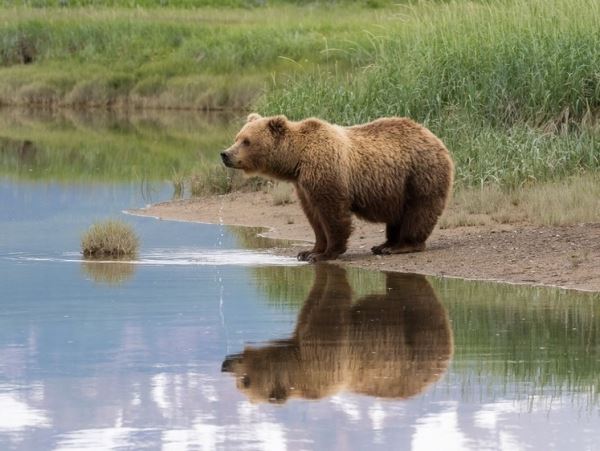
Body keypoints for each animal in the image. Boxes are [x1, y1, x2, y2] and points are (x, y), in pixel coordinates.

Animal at [223, 113, 452, 264]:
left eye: (247, 141)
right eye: (237, 137)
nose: (225, 154)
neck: (297, 160)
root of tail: (436, 138)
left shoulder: (326, 170)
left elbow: (332, 213)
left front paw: (324, 253)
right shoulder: (303, 186)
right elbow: (314, 216)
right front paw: (308, 251)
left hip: (420, 175)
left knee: (418, 212)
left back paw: (401, 246)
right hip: (398, 187)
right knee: (398, 216)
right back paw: (384, 245)